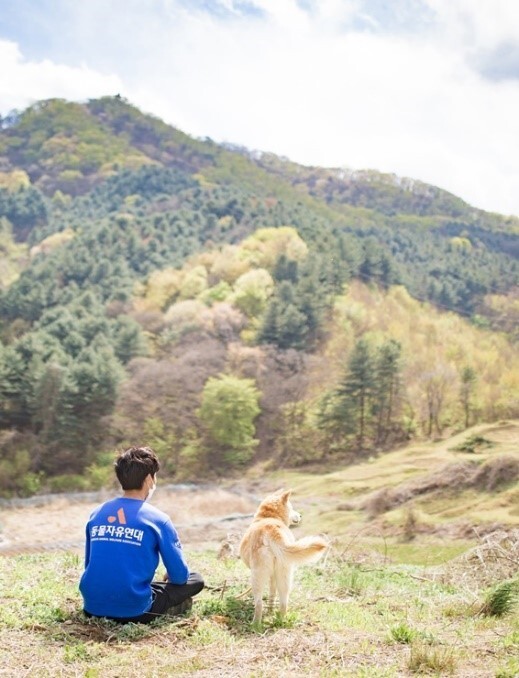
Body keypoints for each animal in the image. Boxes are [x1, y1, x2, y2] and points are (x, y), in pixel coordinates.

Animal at [239, 488, 328, 628]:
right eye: (292, 508)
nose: (300, 515)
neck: (269, 517)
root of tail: (271, 529)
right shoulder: (273, 576)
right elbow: (272, 594)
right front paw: (270, 611)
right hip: (284, 574)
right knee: (283, 602)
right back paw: (280, 620)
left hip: (257, 577)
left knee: (259, 603)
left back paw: (255, 624)